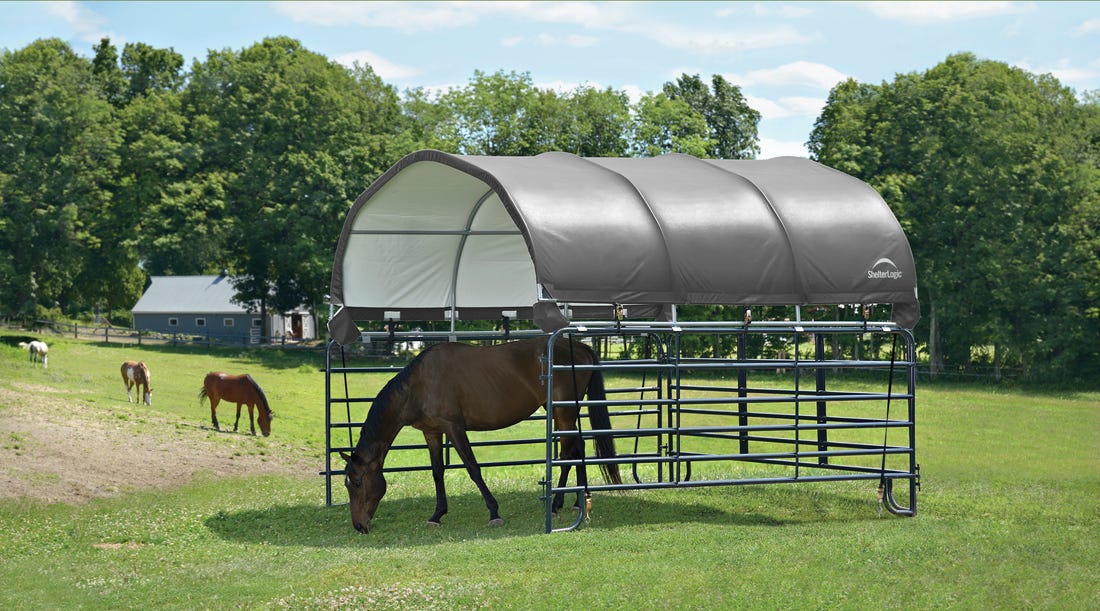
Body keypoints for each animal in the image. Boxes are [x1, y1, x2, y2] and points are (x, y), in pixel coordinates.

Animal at [338, 334, 624, 535]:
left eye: (358, 482)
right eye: (348, 484)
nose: (359, 526)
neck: (418, 385)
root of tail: (581, 347)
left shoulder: (454, 428)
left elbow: (473, 468)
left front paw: (494, 513)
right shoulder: (432, 433)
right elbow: (437, 472)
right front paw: (437, 515)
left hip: (563, 413)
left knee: (566, 452)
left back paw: (556, 504)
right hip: (562, 412)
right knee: (578, 447)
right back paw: (577, 500)